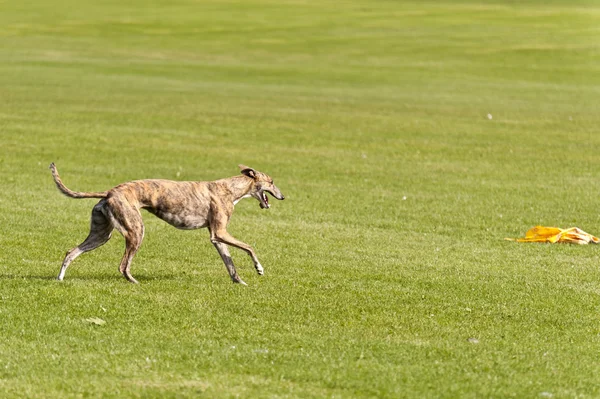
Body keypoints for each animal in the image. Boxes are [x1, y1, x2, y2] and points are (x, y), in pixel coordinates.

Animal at [49, 164, 286, 286]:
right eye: (272, 181)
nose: (283, 197)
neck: (229, 189)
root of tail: (109, 192)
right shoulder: (221, 231)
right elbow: (250, 247)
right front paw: (259, 268)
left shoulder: (216, 236)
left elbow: (230, 263)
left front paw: (240, 282)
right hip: (136, 231)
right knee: (123, 265)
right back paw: (135, 282)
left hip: (100, 234)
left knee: (71, 252)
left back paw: (60, 278)